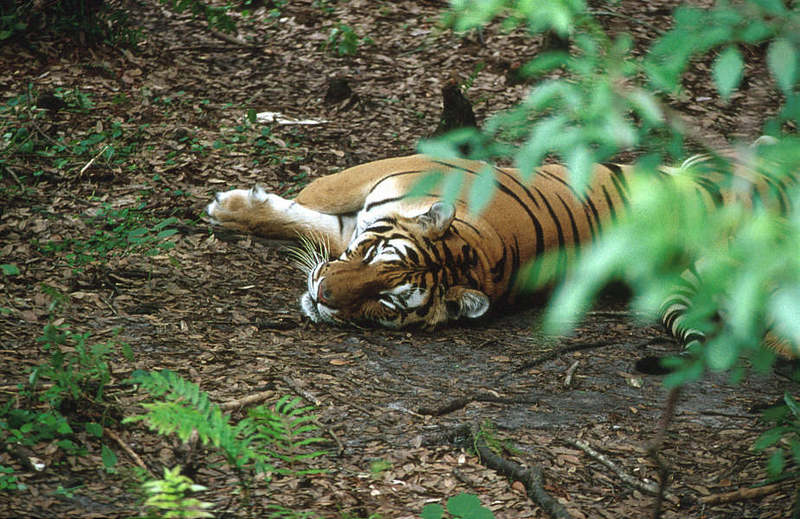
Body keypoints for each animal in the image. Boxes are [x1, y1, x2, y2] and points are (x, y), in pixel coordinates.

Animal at [205, 140, 792, 356]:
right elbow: (316, 203)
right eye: (372, 258)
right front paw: (233, 209)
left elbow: (315, 213)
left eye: (388, 302)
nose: (323, 296)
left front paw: (229, 207)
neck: (476, 251)